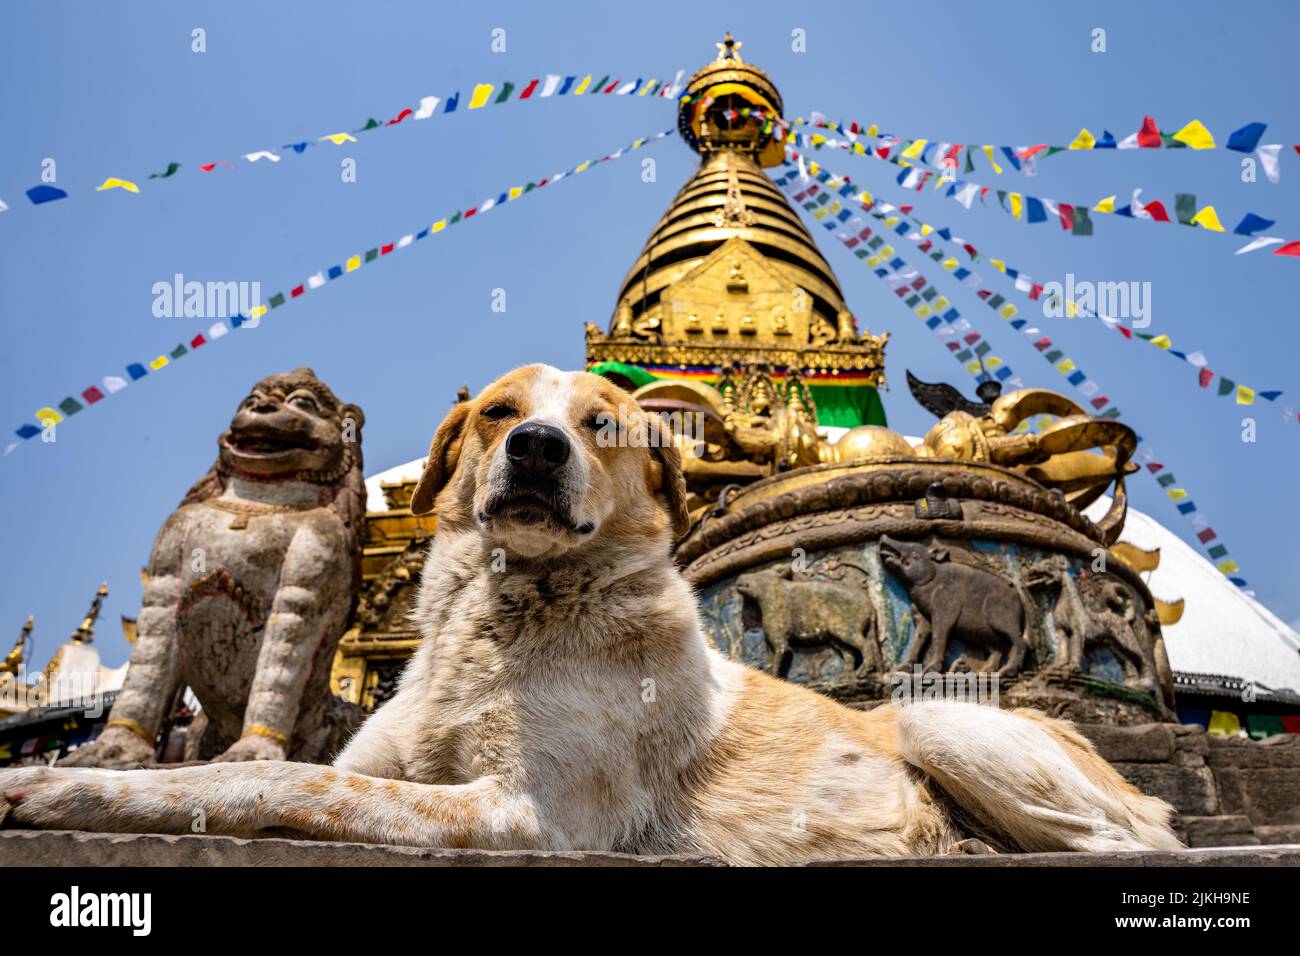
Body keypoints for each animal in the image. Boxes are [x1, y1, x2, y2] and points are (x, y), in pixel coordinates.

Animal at [0, 366, 1180, 868]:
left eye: (604, 423)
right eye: (497, 413)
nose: (536, 450)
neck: (491, 624)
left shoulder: (535, 814)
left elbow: (286, 783)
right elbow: (207, 780)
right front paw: (46, 789)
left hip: (944, 720)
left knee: (1132, 840)